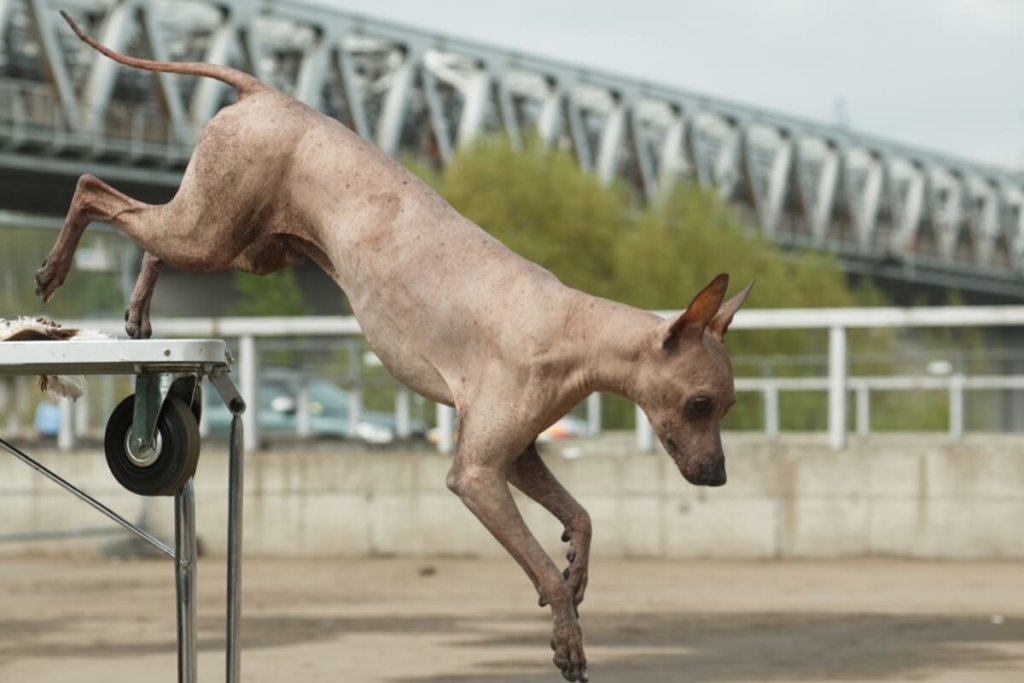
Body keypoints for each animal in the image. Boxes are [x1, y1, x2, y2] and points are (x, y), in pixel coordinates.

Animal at [37, 12, 753, 683]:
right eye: (700, 403)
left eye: (725, 407)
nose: (718, 476)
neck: (572, 326)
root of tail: (268, 93)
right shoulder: (476, 475)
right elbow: (541, 567)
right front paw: (567, 639)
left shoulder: (517, 456)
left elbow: (581, 518)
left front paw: (577, 574)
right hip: (210, 230)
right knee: (93, 188)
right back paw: (53, 270)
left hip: (240, 246)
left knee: (147, 237)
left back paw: (137, 310)